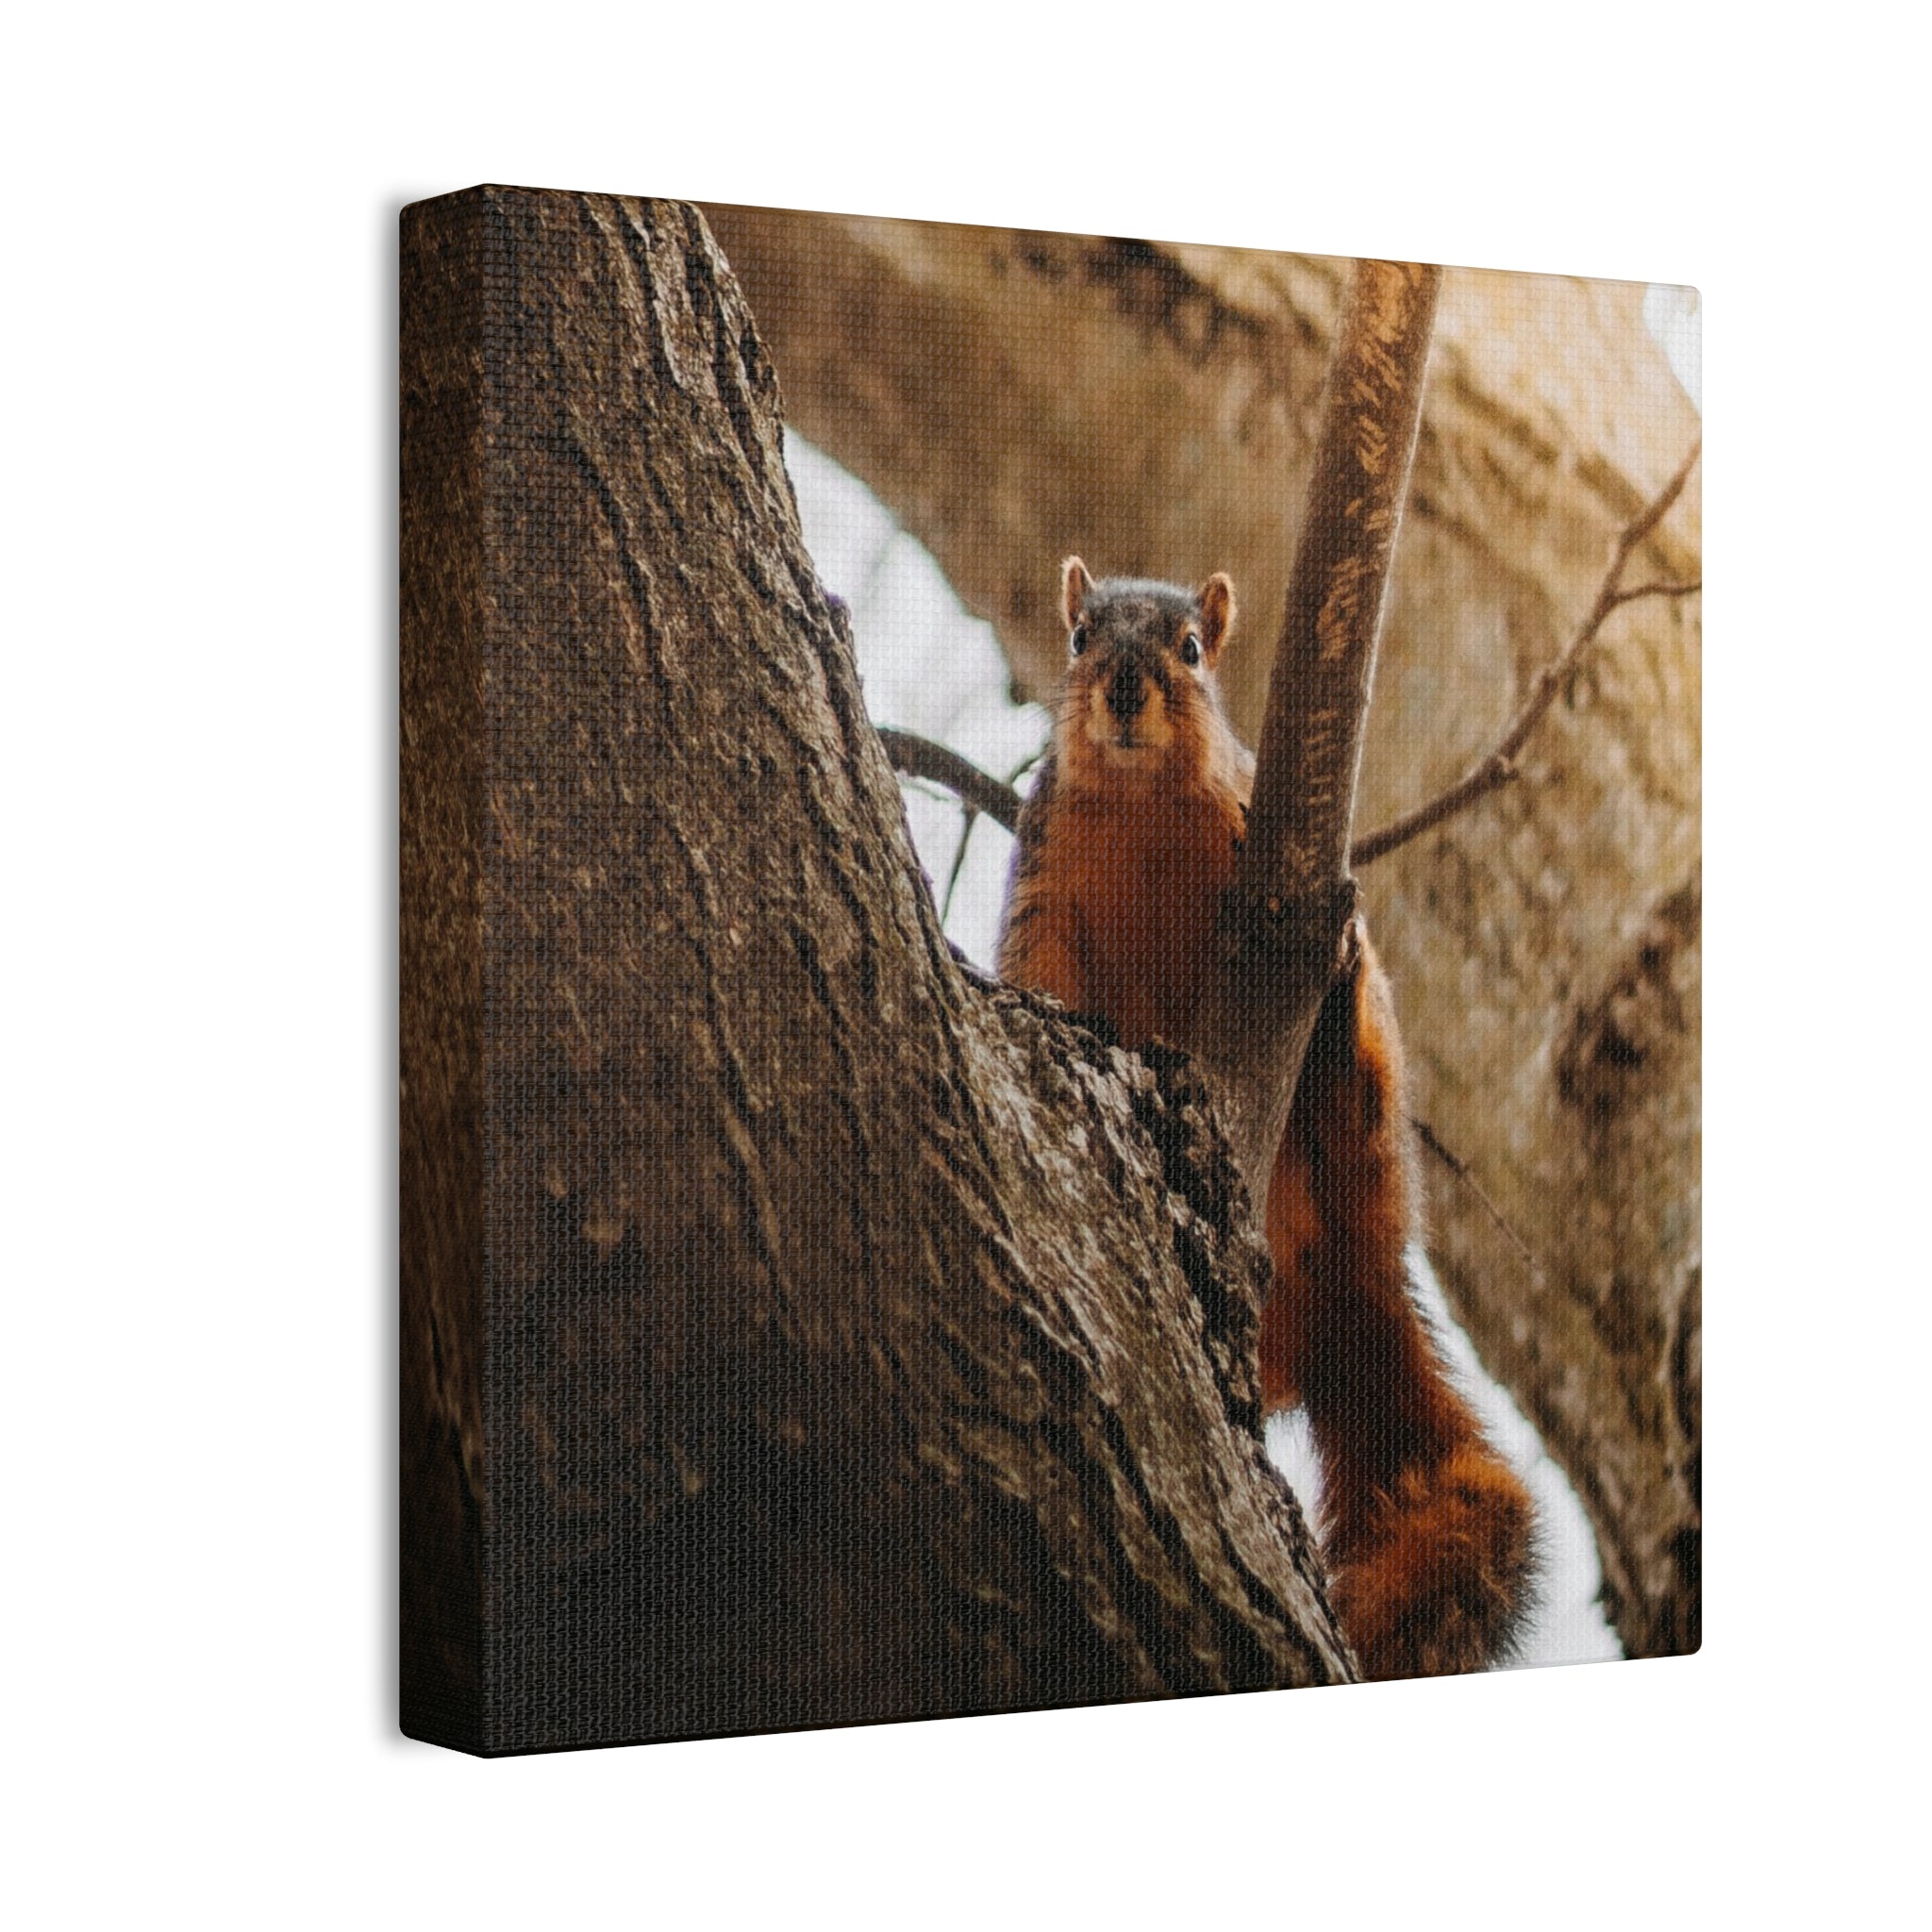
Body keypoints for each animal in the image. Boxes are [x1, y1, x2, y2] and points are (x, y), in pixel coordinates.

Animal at [997, 558, 1535, 1680]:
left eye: (1193, 648)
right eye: (1078, 638)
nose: (1124, 685)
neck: (1142, 807)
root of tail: (1351, 1281)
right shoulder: (1043, 882)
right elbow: (1044, 979)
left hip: (1365, 1145)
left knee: (1357, 1104)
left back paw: (1342, 1020)